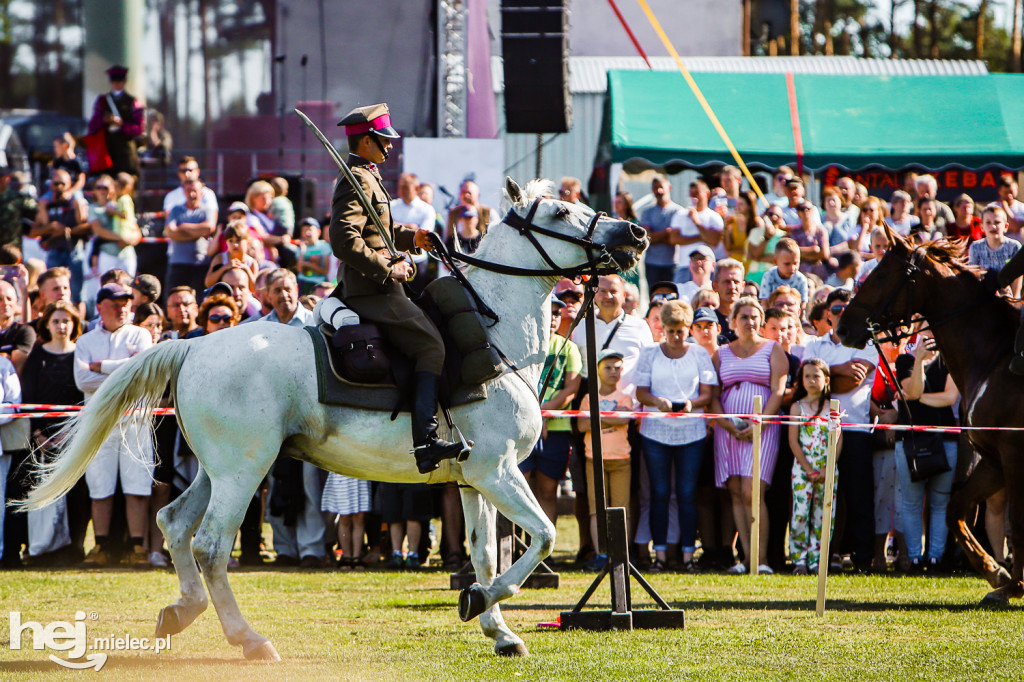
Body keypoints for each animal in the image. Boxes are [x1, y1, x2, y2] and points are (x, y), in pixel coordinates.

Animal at [22, 176, 647, 659]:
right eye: (561, 211)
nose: (635, 235)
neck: (493, 334)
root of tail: (194, 345)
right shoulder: (497, 471)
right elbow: (540, 537)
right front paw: (479, 602)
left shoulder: (476, 479)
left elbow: (483, 552)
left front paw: (498, 630)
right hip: (244, 471)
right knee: (211, 546)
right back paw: (248, 639)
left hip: (218, 469)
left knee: (174, 524)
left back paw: (182, 611)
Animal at [835, 225, 1019, 602]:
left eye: (881, 274)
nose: (843, 328)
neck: (995, 356)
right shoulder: (993, 458)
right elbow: (954, 509)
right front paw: (996, 573)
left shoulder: (1011, 454)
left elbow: (1019, 525)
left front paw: (1011, 584)